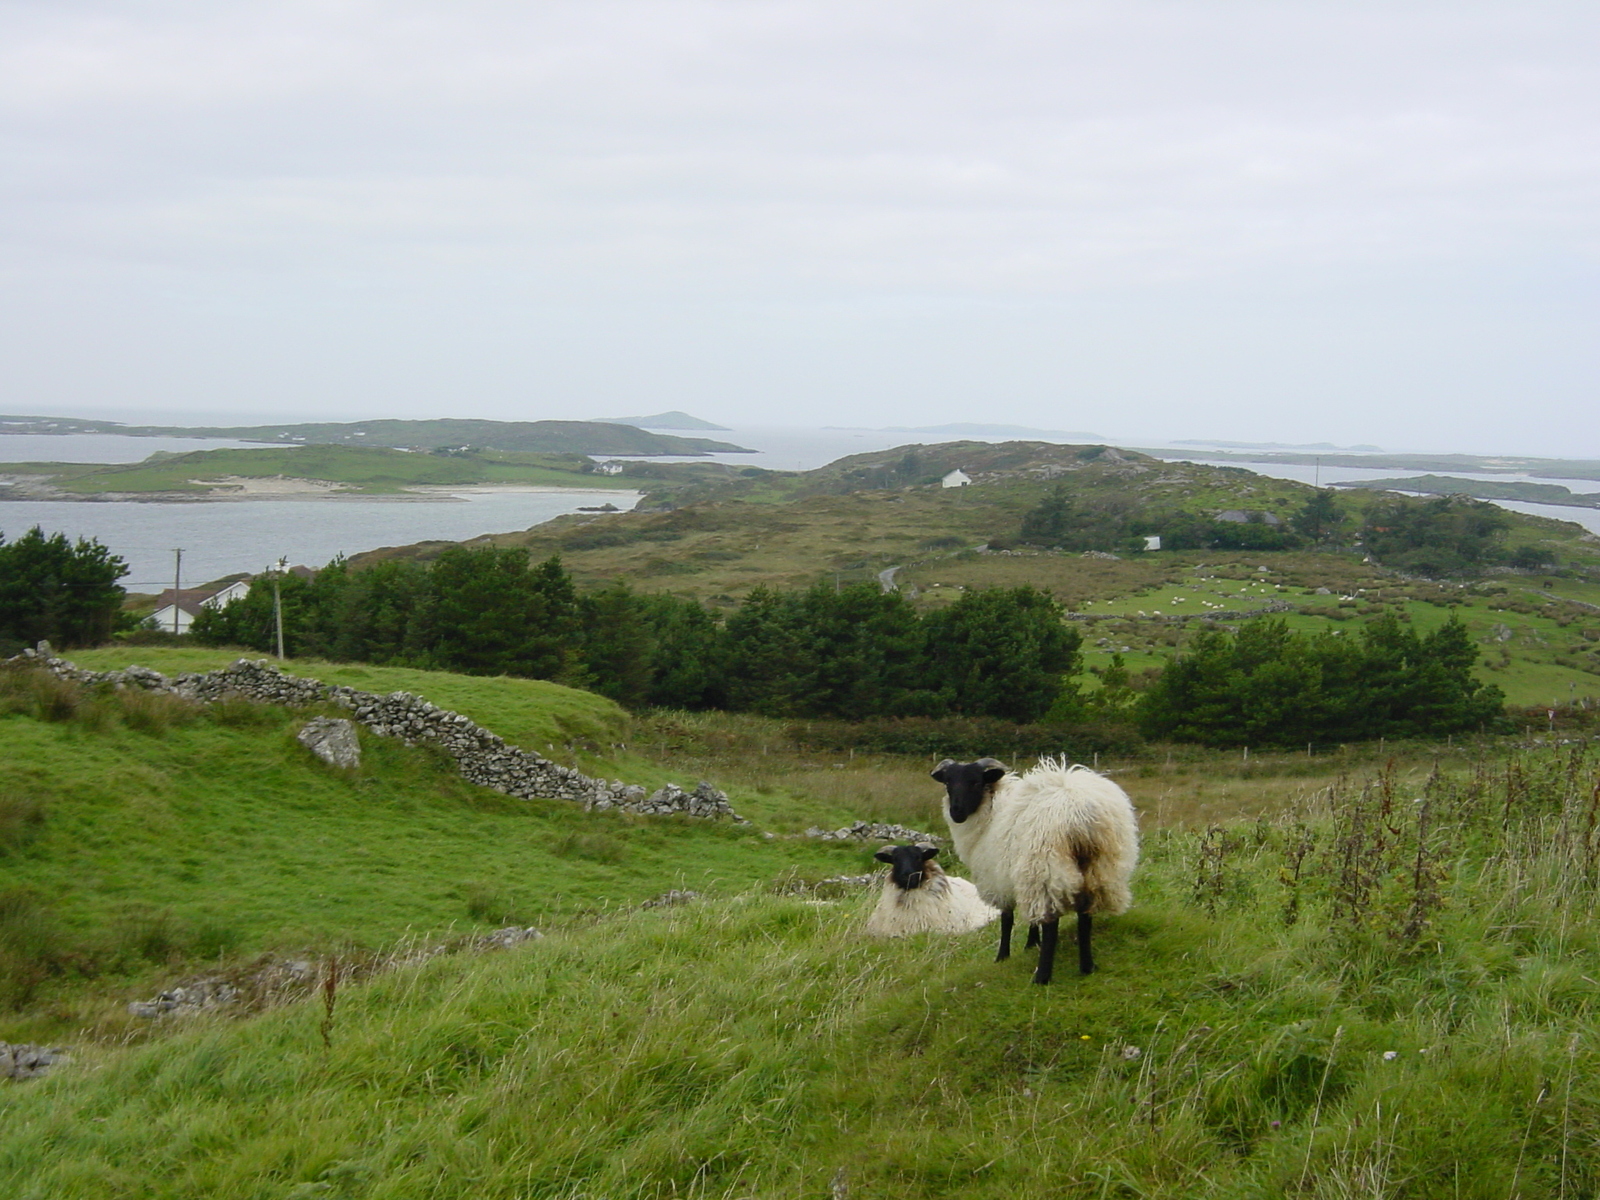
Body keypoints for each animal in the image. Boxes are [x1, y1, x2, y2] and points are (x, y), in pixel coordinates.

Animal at [934, 761, 1145, 985]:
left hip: (1045, 867)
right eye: (947, 783)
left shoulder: (1000, 879)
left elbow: (1007, 920)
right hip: (1100, 868)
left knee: (1051, 925)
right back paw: (1087, 967)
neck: (990, 813)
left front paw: (1002, 956)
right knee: (1085, 917)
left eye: (975, 782)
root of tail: (1081, 816)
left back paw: (1042, 977)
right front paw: (1031, 944)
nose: (956, 812)